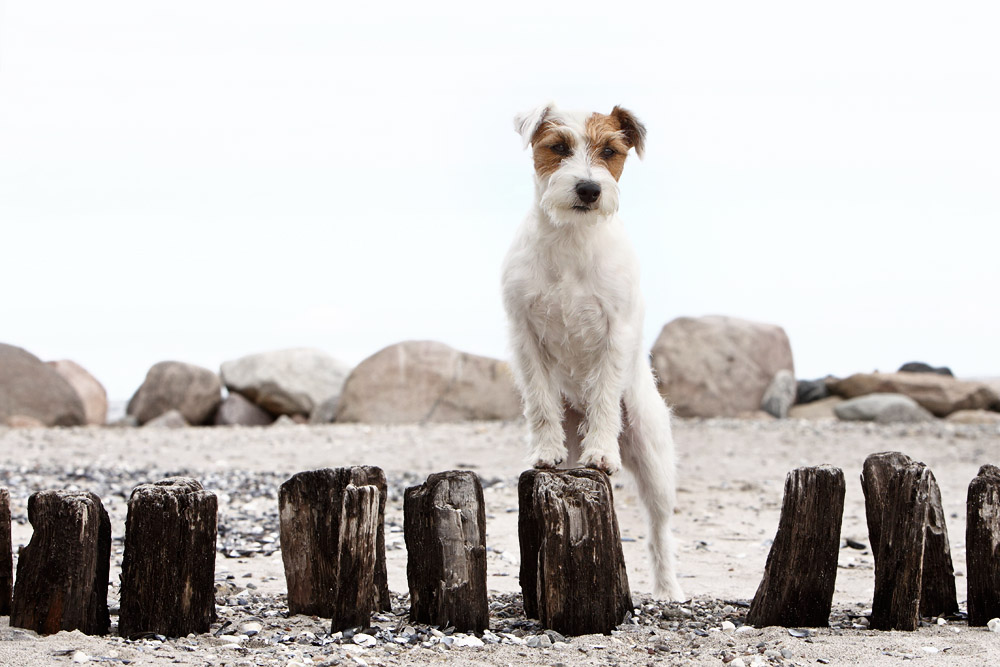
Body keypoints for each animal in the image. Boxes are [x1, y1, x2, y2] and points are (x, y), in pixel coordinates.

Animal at [504, 103, 684, 600]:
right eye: (558, 147)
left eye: (610, 152)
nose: (589, 188)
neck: (571, 239)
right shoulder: (524, 335)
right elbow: (540, 403)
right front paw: (544, 449)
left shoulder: (614, 336)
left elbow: (603, 399)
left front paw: (601, 452)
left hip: (653, 455)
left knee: (659, 529)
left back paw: (668, 590)